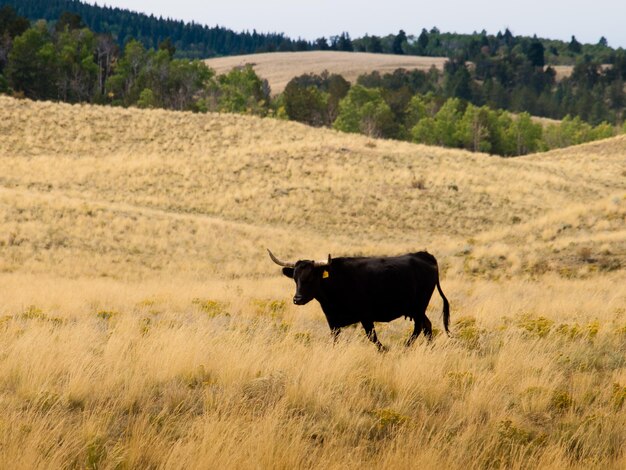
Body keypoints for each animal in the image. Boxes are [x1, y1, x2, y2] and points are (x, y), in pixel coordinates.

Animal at [268, 248, 448, 350]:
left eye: (310, 277)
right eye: (295, 278)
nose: (297, 299)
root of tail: (424, 255)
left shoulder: (366, 317)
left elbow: (373, 339)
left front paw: (385, 351)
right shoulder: (333, 321)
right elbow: (336, 340)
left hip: (418, 307)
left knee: (419, 328)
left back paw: (406, 347)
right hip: (417, 309)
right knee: (427, 326)